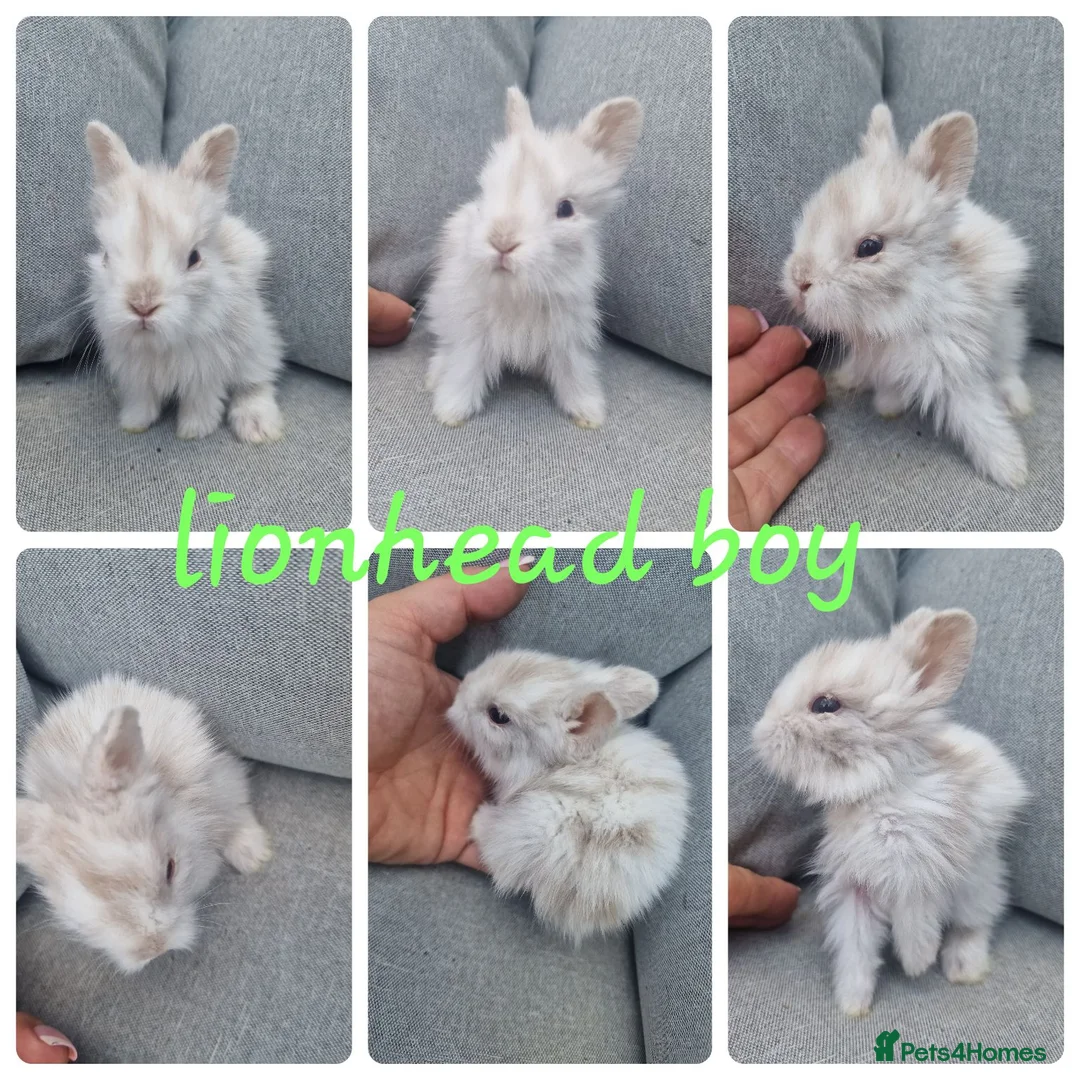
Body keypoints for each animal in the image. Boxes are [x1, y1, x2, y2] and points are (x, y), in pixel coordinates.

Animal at [17, 676, 271, 972]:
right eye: (84, 917)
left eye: (171, 869)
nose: (155, 950)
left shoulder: (222, 784)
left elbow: (236, 817)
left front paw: (255, 857)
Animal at [85, 121, 285, 443]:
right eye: (105, 255)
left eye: (194, 257)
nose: (143, 305)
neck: (158, 345)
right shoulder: (136, 376)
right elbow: (141, 400)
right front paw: (133, 423)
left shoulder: (205, 372)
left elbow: (201, 401)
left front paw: (194, 431)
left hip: (258, 348)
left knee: (256, 384)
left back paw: (258, 428)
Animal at [424, 87, 644, 428]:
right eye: (484, 193)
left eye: (566, 208)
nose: (502, 241)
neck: (518, 293)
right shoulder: (472, 333)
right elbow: (464, 370)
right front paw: (451, 412)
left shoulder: (568, 338)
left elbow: (575, 374)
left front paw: (589, 414)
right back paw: (433, 378)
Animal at [752, 608, 1027, 1016]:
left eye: (825, 705)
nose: (760, 734)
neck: (877, 790)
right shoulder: (855, 889)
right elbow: (856, 949)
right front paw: (853, 1004)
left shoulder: (919, 878)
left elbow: (916, 926)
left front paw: (917, 964)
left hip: (978, 885)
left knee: (973, 926)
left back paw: (964, 969)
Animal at [783, 104, 1031, 488]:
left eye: (870, 247)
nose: (800, 281)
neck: (895, 308)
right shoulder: (876, 358)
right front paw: (870, 395)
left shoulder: (954, 365)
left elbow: (979, 417)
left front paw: (1011, 469)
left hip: (1007, 334)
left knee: (1008, 370)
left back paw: (1020, 404)